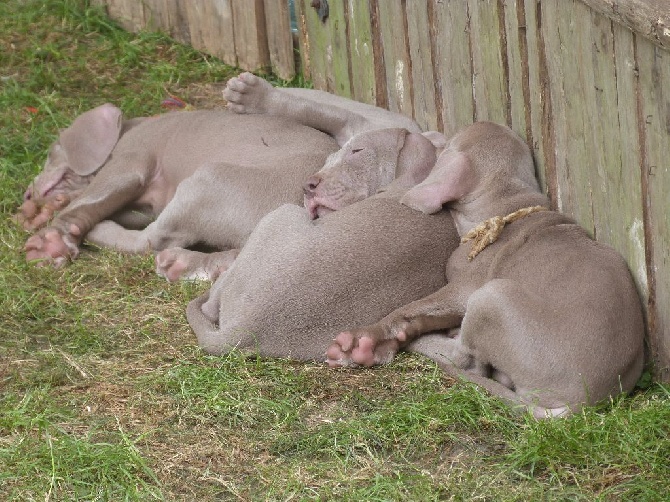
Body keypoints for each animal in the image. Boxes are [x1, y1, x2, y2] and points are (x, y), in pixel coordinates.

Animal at [328, 121, 648, 420]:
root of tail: (584, 402)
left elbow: (407, 308)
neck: (504, 207)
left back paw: (420, 342)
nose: (435, 140)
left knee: (467, 361)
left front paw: (364, 340)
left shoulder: (466, 286)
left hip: (492, 297)